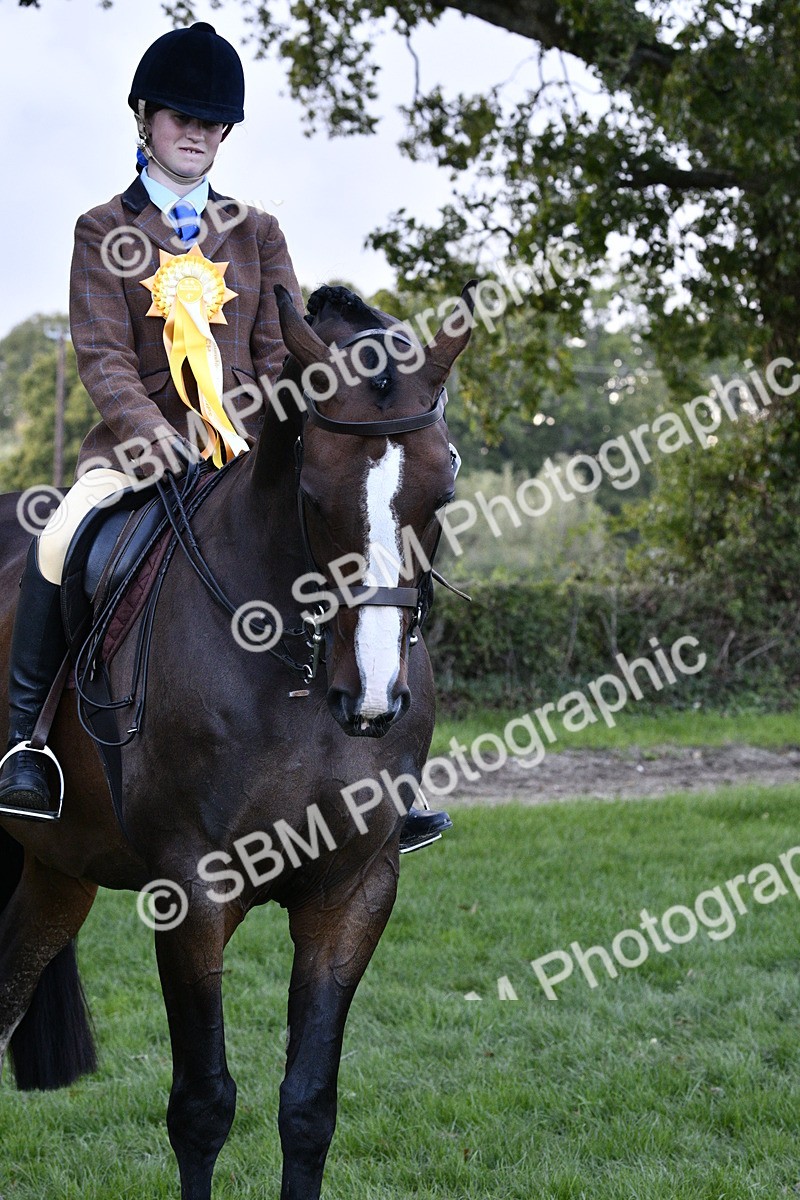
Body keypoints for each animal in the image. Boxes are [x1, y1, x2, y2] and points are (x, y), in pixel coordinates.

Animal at [0, 280, 476, 1200]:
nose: (372, 699)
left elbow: (309, 1104)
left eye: (441, 496)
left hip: (54, 872)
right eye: (314, 494)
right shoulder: (191, 891)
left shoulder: (353, 890)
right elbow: (203, 1106)